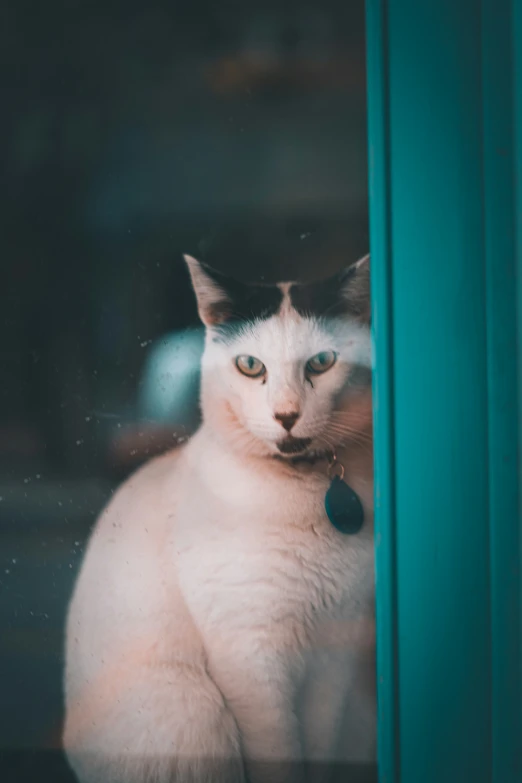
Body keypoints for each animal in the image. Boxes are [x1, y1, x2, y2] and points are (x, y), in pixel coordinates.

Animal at [63, 253, 374, 783]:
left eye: (321, 361)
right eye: (250, 366)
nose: (286, 416)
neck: (307, 494)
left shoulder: (334, 652)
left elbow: (319, 747)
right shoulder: (252, 659)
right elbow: (280, 757)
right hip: (194, 705)